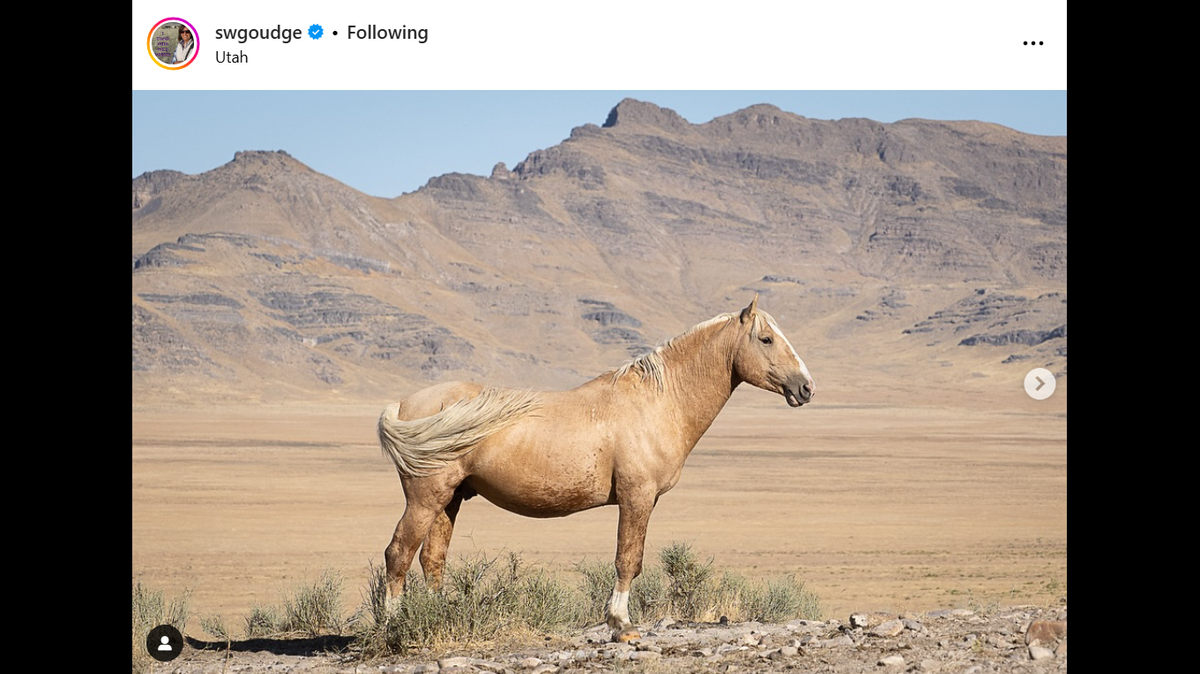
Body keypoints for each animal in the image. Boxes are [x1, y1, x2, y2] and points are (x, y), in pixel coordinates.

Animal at [376, 295, 814, 641]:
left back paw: (436, 618)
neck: (658, 401)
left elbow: (632, 558)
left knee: (432, 559)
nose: (806, 387)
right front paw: (621, 624)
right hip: (425, 499)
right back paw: (393, 626)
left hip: (449, 499)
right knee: (398, 553)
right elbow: (628, 558)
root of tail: (404, 404)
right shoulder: (636, 497)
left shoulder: (645, 500)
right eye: (766, 339)